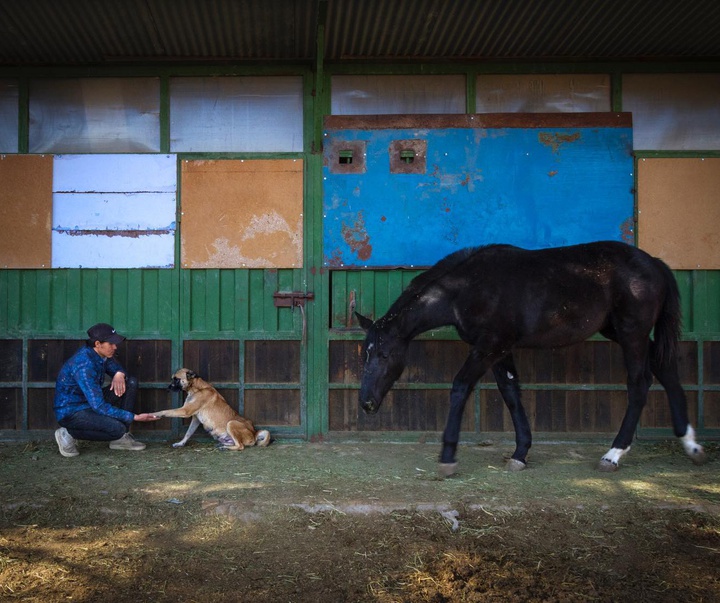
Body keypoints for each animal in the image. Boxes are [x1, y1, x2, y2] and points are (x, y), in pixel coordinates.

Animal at [358, 243, 704, 474]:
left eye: (385, 354)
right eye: (365, 354)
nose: (366, 403)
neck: (468, 287)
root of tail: (654, 262)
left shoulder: (489, 347)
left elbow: (460, 388)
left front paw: (448, 457)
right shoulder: (499, 350)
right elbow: (511, 394)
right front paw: (520, 453)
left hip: (631, 332)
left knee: (639, 383)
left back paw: (614, 454)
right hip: (619, 331)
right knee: (664, 369)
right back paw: (691, 444)